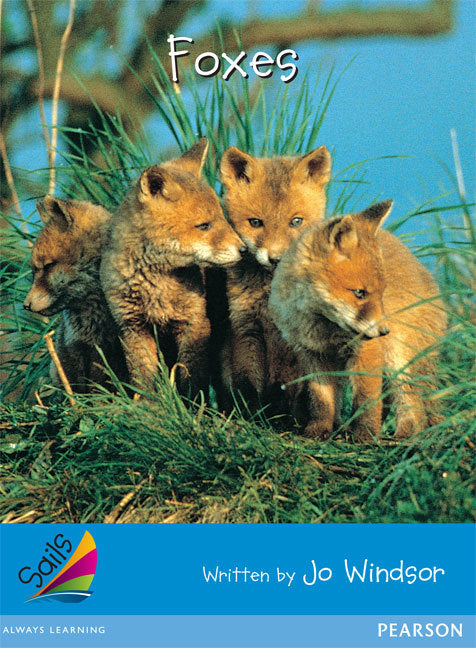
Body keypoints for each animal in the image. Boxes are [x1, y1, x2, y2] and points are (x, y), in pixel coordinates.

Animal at [100, 138, 245, 398]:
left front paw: (191, 406)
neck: (156, 287)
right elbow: (143, 380)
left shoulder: (193, 323)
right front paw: (148, 405)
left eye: (222, 217)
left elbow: (190, 380)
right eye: (204, 226)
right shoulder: (133, 327)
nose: (244, 249)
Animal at [218, 145, 331, 414]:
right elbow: (248, 384)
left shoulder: (294, 340)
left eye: (296, 221)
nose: (276, 258)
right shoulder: (246, 328)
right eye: (255, 222)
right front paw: (250, 414)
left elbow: (287, 387)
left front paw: (280, 415)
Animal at [269, 200, 447, 441]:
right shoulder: (313, 355)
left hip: (399, 363)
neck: (323, 328)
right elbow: (322, 401)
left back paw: (404, 439)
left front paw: (364, 437)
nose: (384, 331)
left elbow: (366, 401)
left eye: (382, 292)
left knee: (414, 407)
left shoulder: (367, 350)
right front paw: (319, 431)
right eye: (359, 293)